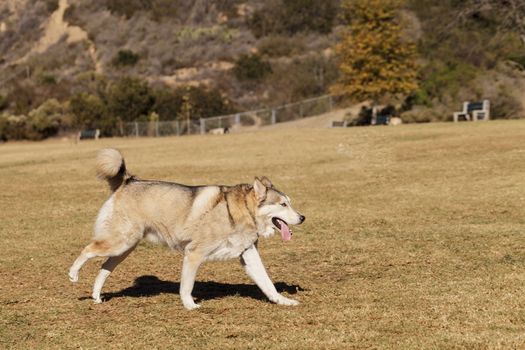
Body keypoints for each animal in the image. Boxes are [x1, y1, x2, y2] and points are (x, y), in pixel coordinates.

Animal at [68, 148, 304, 308]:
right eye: (283, 205)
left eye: (290, 203)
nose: (302, 217)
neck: (242, 211)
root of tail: (127, 181)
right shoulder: (194, 253)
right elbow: (187, 285)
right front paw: (190, 305)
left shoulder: (248, 255)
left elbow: (267, 283)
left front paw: (283, 300)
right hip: (119, 242)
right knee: (87, 250)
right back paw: (73, 274)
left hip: (125, 248)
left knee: (103, 268)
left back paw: (96, 296)